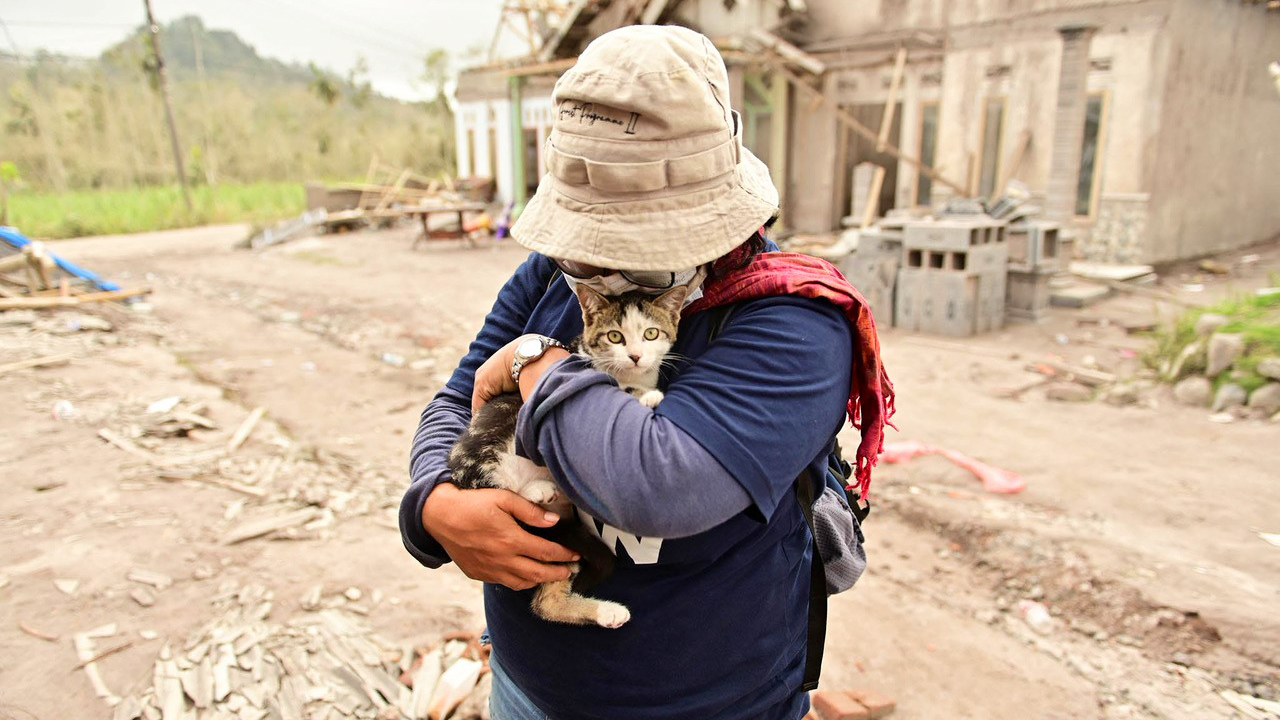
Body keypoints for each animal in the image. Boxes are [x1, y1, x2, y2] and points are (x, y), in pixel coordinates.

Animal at [450, 280, 691, 622]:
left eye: (651, 333)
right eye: (614, 336)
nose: (635, 356)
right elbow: (616, 389)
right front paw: (646, 395)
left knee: (547, 602)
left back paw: (606, 612)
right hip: (496, 435)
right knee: (499, 486)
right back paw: (535, 490)